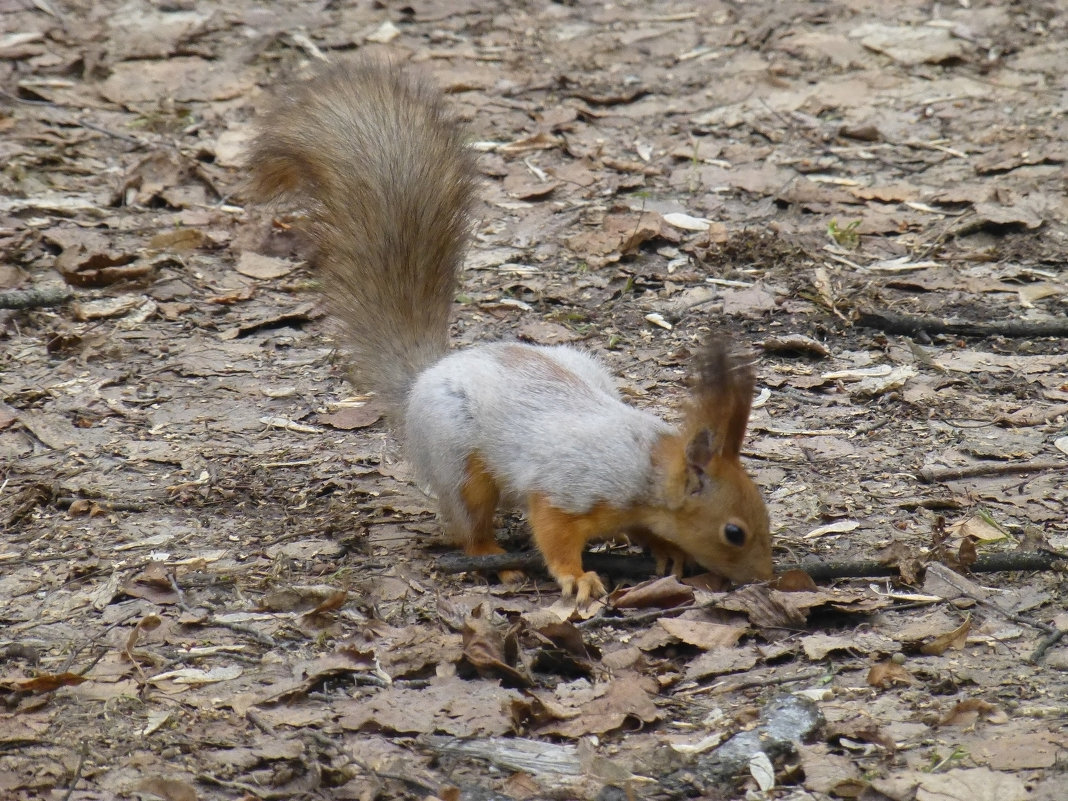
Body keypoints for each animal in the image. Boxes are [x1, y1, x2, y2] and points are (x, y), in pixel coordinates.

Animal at [246, 62, 773, 602]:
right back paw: (494, 560)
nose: (768, 577)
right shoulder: (568, 488)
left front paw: (665, 551)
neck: (644, 466)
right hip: (458, 462)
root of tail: (430, 373)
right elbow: (554, 533)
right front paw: (577, 577)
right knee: (470, 520)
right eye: (734, 532)